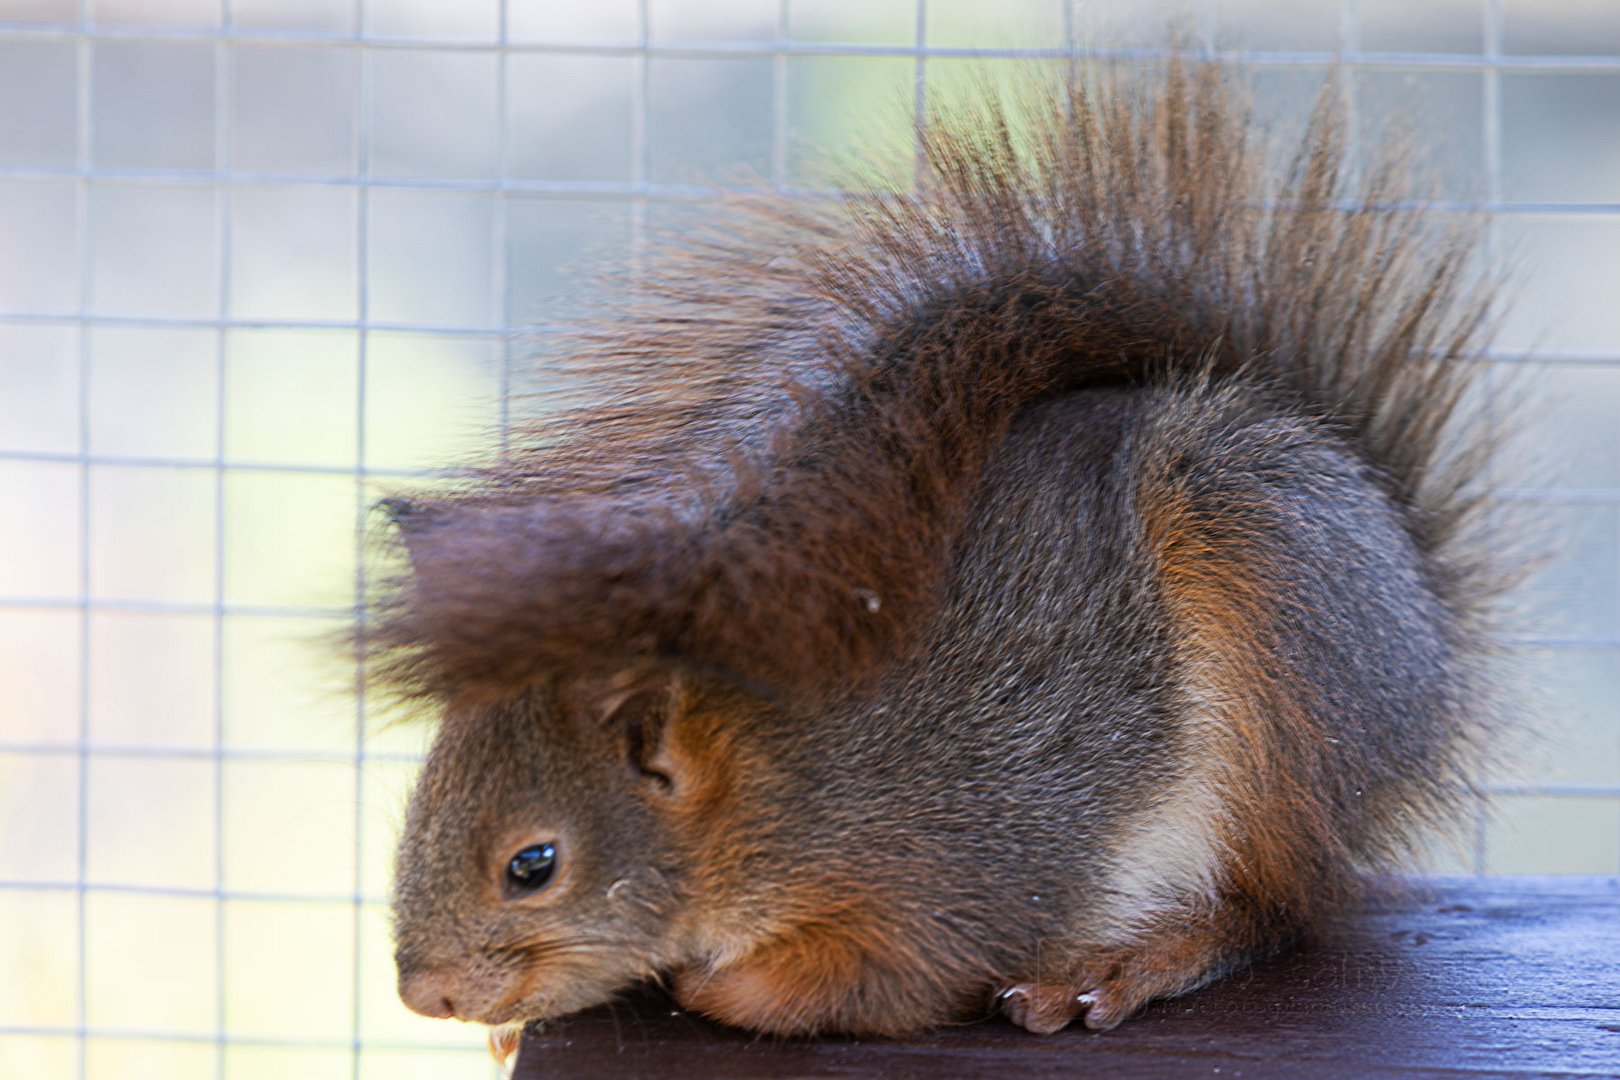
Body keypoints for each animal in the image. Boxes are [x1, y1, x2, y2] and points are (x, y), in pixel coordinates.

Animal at [367, 57, 1503, 1036]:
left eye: (533, 865)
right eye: (415, 812)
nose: (426, 996)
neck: (773, 780)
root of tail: (1423, 623)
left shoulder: (948, 863)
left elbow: (886, 978)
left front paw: (713, 985)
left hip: (1278, 658)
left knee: (1275, 905)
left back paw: (1133, 962)